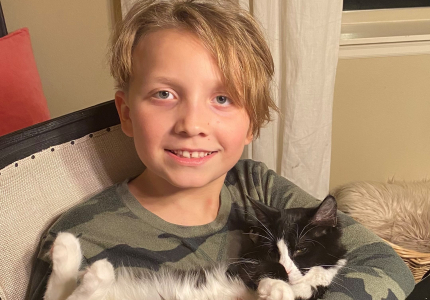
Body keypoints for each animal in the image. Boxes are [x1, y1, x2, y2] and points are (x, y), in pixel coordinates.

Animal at [43, 196, 346, 300]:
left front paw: (282, 289)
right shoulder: (245, 268)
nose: (285, 269)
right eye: (273, 251)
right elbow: (259, 275)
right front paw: (275, 285)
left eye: (300, 250)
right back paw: (68, 248)